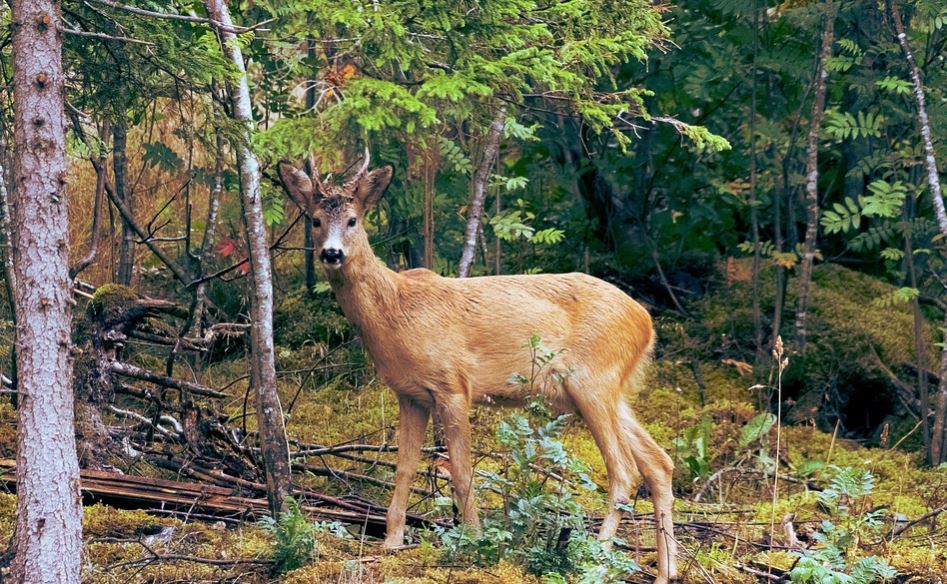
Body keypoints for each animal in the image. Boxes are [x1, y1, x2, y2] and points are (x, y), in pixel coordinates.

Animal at [278, 153, 676, 580]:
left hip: (592, 381)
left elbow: (462, 470)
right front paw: (392, 541)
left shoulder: (453, 384)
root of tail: (645, 321)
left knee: (624, 471)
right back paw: (666, 571)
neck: (396, 312)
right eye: (315, 220)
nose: (331, 253)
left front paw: (473, 541)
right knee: (659, 462)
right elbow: (404, 467)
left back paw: (596, 558)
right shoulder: (410, 394)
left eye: (353, 220)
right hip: (611, 390)